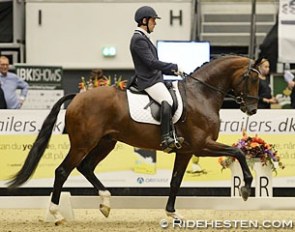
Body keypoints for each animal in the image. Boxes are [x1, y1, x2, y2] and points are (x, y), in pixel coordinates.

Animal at [6, 55, 262, 224]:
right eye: (252, 79)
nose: (252, 109)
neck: (201, 95)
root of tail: (77, 97)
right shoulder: (202, 146)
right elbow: (239, 152)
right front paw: (246, 187)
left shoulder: (186, 151)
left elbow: (175, 181)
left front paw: (173, 214)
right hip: (83, 144)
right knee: (62, 171)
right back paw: (57, 214)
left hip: (106, 142)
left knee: (86, 167)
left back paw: (105, 202)